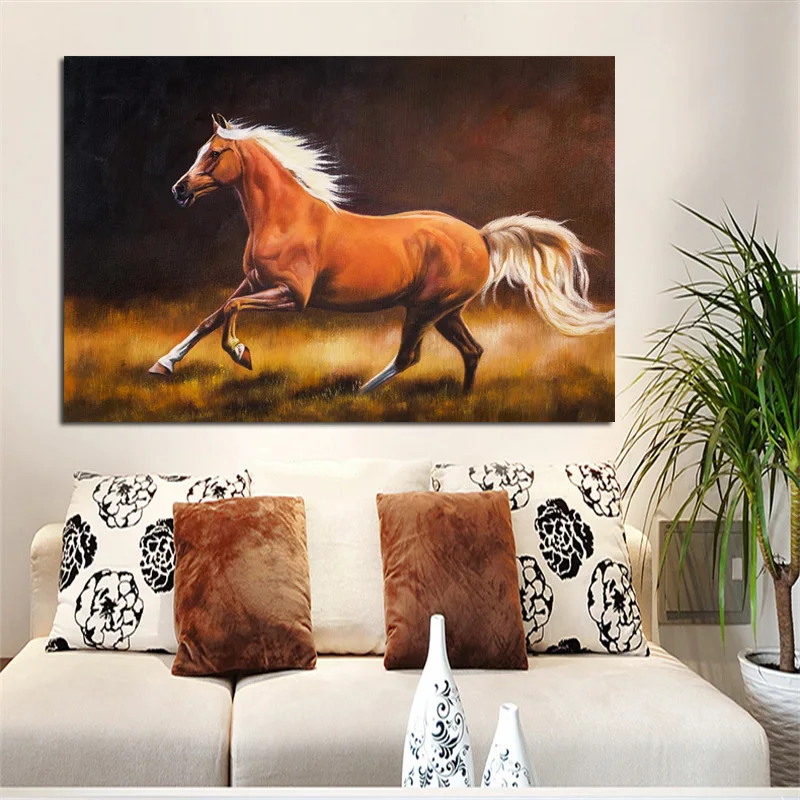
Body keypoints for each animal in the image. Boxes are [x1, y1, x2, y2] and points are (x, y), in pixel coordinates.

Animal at [150, 114, 614, 394]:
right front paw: (163, 364)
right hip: (446, 313)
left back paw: (359, 395)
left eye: (214, 153)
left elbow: (231, 312)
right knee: (472, 352)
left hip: (426, 309)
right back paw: (464, 401)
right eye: (200, 152)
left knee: (410, 356)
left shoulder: (292, 296)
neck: (286, 218)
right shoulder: (255, 281)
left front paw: (241, 354)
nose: (178, 190)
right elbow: (211, 316)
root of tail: (481, 238)